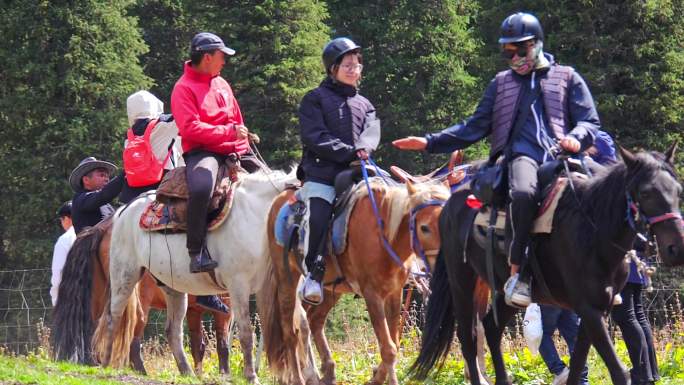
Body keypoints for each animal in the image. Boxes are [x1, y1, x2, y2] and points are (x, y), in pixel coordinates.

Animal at [51, 218, 232, 374]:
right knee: (133, 334)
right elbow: (222, 344)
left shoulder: (194, 311)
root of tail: (101, 228)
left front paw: (199, 374)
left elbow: (198, 346)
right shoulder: (227, 307)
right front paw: (224, 374)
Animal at [92, 168, 298, 380]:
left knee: (173, 331)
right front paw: (251, 375)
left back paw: (187, 371)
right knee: (113, 318)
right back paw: (107, 363)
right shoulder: (237, 286)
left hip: (171, 287)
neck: (254, 215)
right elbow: (245, 333)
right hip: (125, 274)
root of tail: (124, 210)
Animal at [260, 175, 452, 384]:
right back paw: (300, 377)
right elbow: (389, 349)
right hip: (287, 278)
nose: (443, 266)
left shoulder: (395, 293)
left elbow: (393, 342)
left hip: (330, 289)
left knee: (314, 321)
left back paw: (328, 371)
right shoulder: (372, 295)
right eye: (424, 227)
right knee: (291, 331)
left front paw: (377, 377)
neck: (383, 235)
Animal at [412, 145, 684, 384]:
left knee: (491, 328)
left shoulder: (596, 309)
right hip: (462, 281)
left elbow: (577, 364)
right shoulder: (590, 310)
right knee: (468, 338)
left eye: (678, 190)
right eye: (646, 192)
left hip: (504, 290)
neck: (593, 231)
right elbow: (616, 371)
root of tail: (450, 202)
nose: (676, 248)